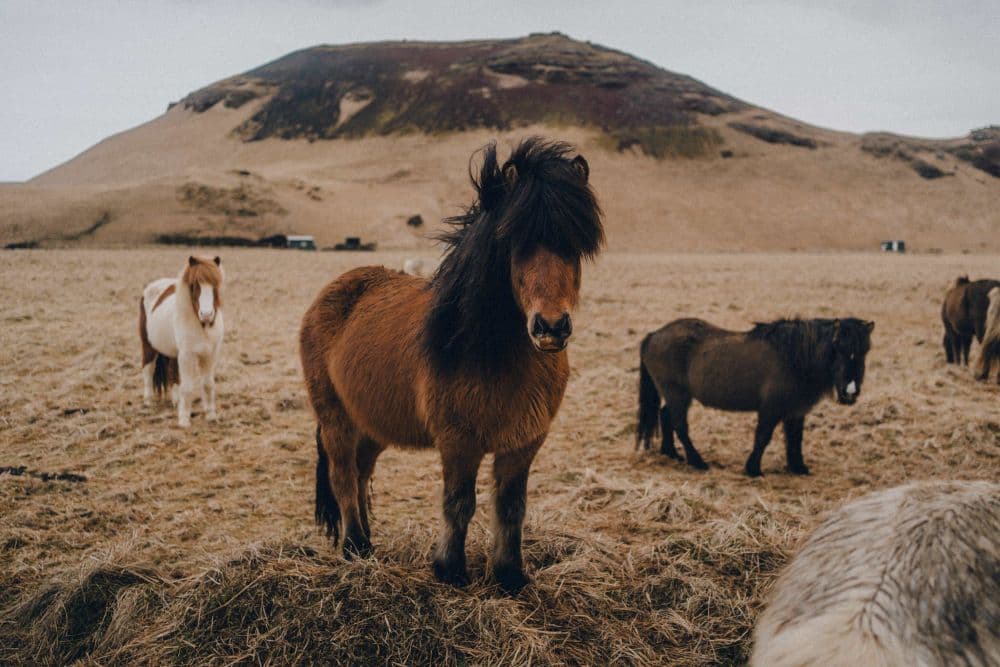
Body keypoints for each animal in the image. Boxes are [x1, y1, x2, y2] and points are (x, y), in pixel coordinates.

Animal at [139, 255, 224, 427]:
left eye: (215, 284)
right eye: (195, 285)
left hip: (173, 352)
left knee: (173, 373)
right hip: (148, 346)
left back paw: (175, 401)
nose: (207, 314)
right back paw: (149, 401)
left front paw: (211, 416)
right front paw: (184, 420)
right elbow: (188, 386)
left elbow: (208, 384)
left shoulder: (210, 355)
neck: (202, 326)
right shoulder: (187, 356)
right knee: (148, 369)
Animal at [299, 138, 603, 593]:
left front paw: (510, 575)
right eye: (515, 242)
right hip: (336, 418)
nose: (550, 327)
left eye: (575, 242)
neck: (494, 356)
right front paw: (451, 570)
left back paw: (368, 540)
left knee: (362, 472)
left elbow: (511, 507)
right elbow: (459, 504)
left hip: (371, 422)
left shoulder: (523, 444)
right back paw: (356, 547)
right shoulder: (459, 443)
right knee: (342, 477)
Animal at [637, 317, 873, 477]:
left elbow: (795, 439)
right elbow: (763, 437)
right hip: (677, 394)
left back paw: (671, 453)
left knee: (665, 416)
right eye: (837, 348)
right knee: (679, 425)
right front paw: (753, 469)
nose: (850, 392)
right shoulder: (770, 409)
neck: (794, 358)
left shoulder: (796, 410)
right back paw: (697, 462)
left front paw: (798, 467)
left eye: (865, 351)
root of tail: (654, 335)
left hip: (676, 395)